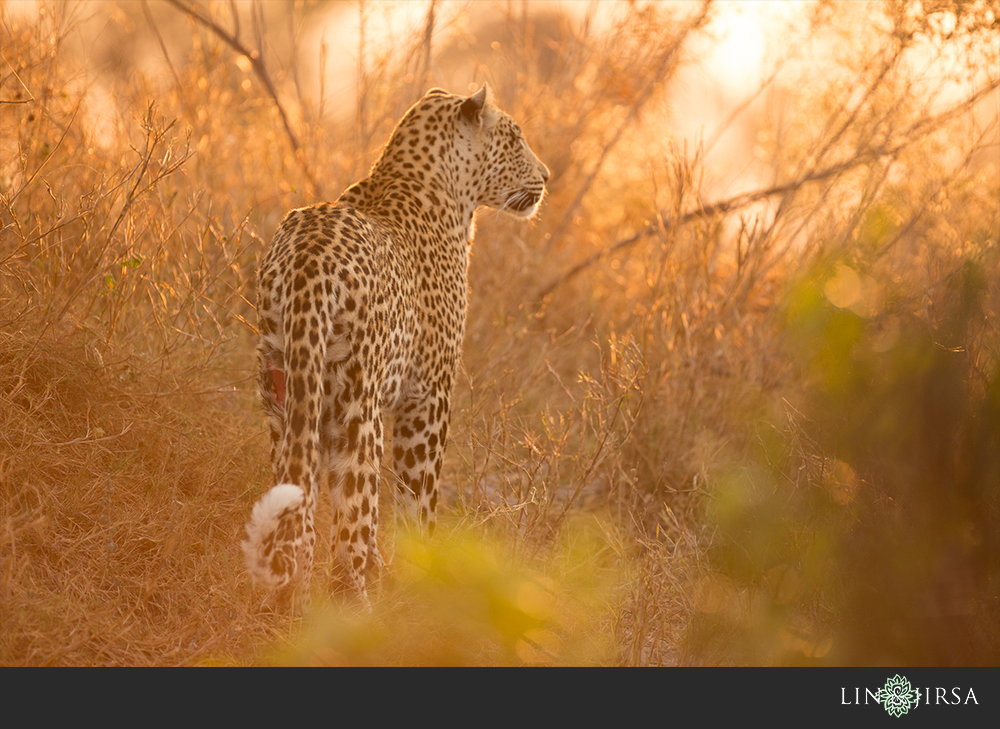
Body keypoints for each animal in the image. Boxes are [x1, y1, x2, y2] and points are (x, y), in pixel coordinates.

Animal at [244, 85, 556, 604]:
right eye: (514, 139)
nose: (547, 176)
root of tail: (309, 261)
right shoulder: (428, 395)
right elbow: (418, 496)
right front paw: (425, 572)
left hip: (282, 391)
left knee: (299, 511)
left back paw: (291, 602)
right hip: (358, 410)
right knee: (351, 524)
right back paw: (356, 605)